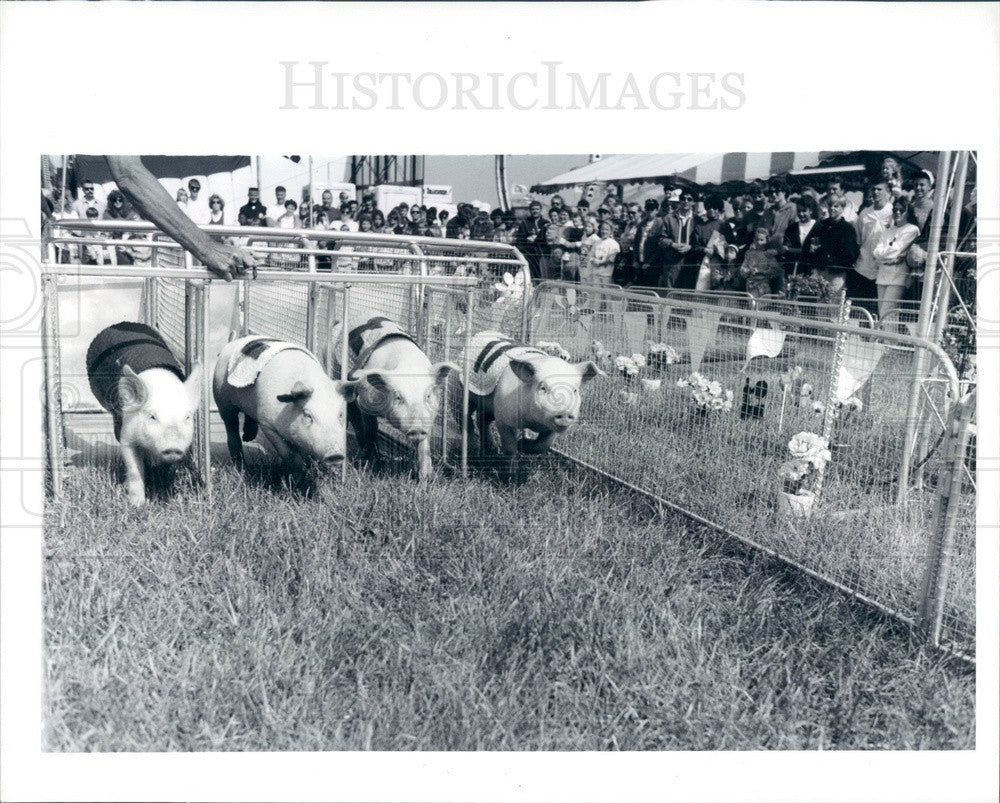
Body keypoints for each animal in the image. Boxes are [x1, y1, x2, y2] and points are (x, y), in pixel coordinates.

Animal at [89, 322, 206, 506]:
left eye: (187, 417)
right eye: (152, 416)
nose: (173, 447)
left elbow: (166, 468)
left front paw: (164, 492)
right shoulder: (127, 435)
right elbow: (135, 469)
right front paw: (137, 504)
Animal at [213, 334, 362, 472]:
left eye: (340, 415)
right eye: (307, 415)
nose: (335, 454)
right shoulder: (266, 422)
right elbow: (288, 453)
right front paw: (297, 473)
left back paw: (248, 438)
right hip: (222, 398)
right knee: (231, 428)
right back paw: (241, 466)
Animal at [330, 318, 458, 480]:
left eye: (428, 395)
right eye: (398, 397)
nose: (417, 428)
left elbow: (424, 443)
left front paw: (427, 477)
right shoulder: (365, 401)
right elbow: (371, 430)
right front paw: (375, 469)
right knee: (353, 417)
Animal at [460, 330, 600, 462]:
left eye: (575, 390)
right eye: (543, 388)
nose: (565, 412)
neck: (533, 421)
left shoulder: (551, 429)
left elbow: (543, 445)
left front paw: (521, 444)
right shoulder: (503, 417)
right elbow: (510, 447)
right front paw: (511, 466)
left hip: (489, 405)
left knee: (482, 419)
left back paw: (491, 449)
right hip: (463, 388)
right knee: (465, 414)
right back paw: (470, 444)